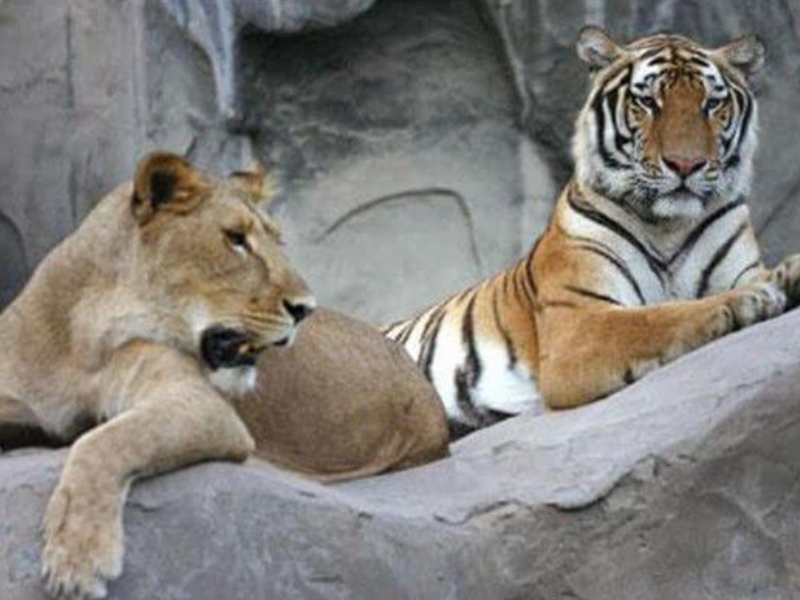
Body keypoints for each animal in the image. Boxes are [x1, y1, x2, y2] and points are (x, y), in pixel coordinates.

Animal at [384, 27, 800, 437]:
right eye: (647, 102)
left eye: (711, 104)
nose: (686, 164)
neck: (668, 226)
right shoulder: (578, 323)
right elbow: (660, 316)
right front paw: (749, 300)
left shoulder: (740, 268)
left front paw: (789, 275)